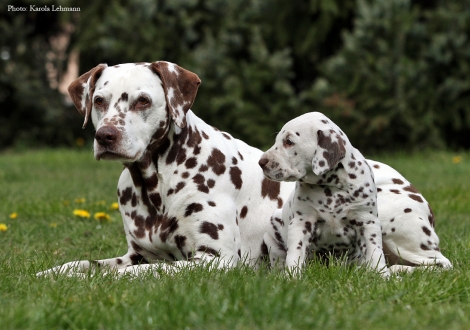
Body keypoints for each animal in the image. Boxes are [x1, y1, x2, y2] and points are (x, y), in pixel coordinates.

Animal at [36, 60, 294, 278]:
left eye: (143, 100)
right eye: (99, 100)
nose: (105, 136)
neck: (155, 187)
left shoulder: (216, 259)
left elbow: (133, 272)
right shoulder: (137, 255)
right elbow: (82, 264)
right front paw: (54, 273)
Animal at [258, 112, 454, 274]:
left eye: (289, 142)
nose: (262, 162)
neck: (330, 188)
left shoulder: (367, 222)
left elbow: (375, 253)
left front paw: (382, 276)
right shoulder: (301, 222)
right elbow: (295, 253)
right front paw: (292, 277)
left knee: (442, 264)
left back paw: (398, 270)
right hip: (273, 223)